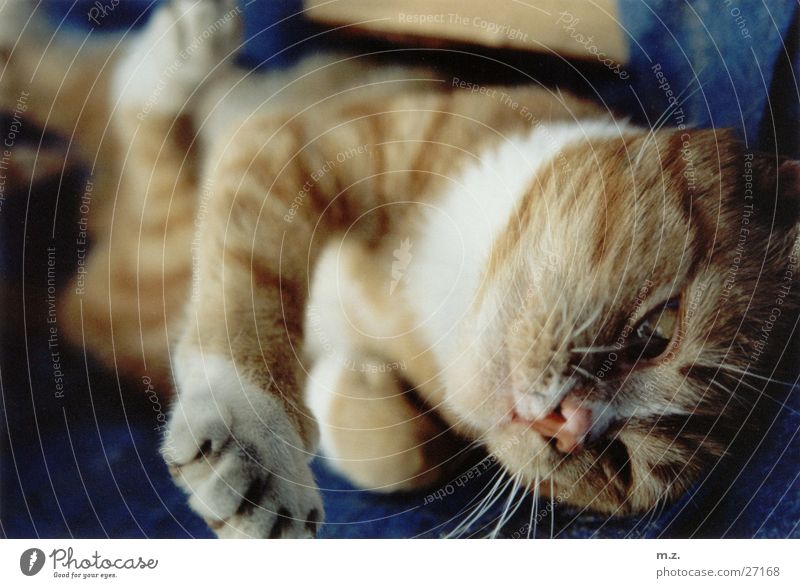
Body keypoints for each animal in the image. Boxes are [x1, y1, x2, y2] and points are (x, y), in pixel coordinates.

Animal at [3, 0, 796, 536]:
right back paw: (173, 51)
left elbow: (403, 454)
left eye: (621, 462)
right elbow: (247, 282)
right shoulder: (301, 139)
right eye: (658, 332)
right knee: (124, 114)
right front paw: (255, 439)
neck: (441, 288)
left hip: (134, 277)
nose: (570, 428)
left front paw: (339, 391)